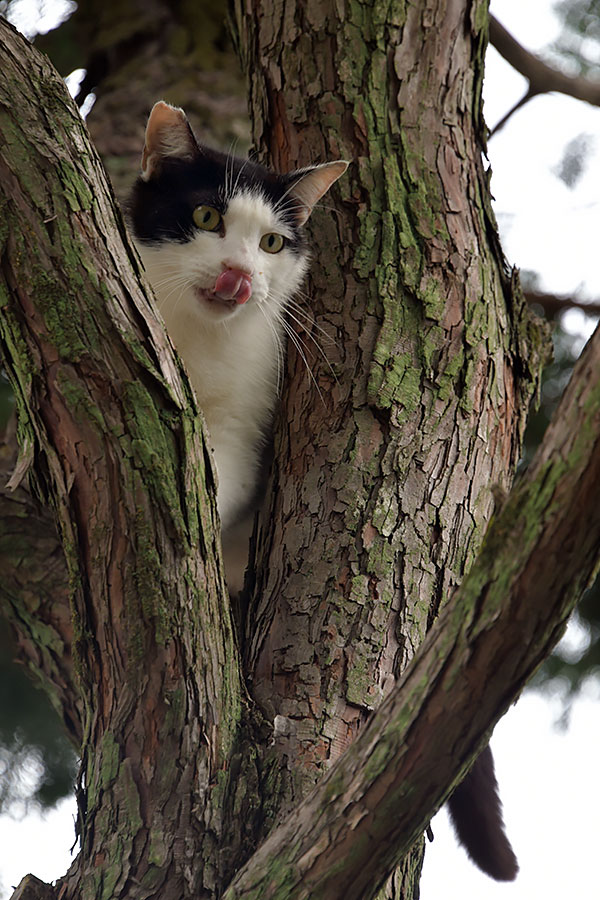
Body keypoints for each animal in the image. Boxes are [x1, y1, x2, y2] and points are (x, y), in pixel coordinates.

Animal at [125, 102, 516, 884]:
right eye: (206, 215)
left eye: (273, 242)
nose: (241, 274)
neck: (198, 340)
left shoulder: (248, 418)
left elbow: (222, 471)